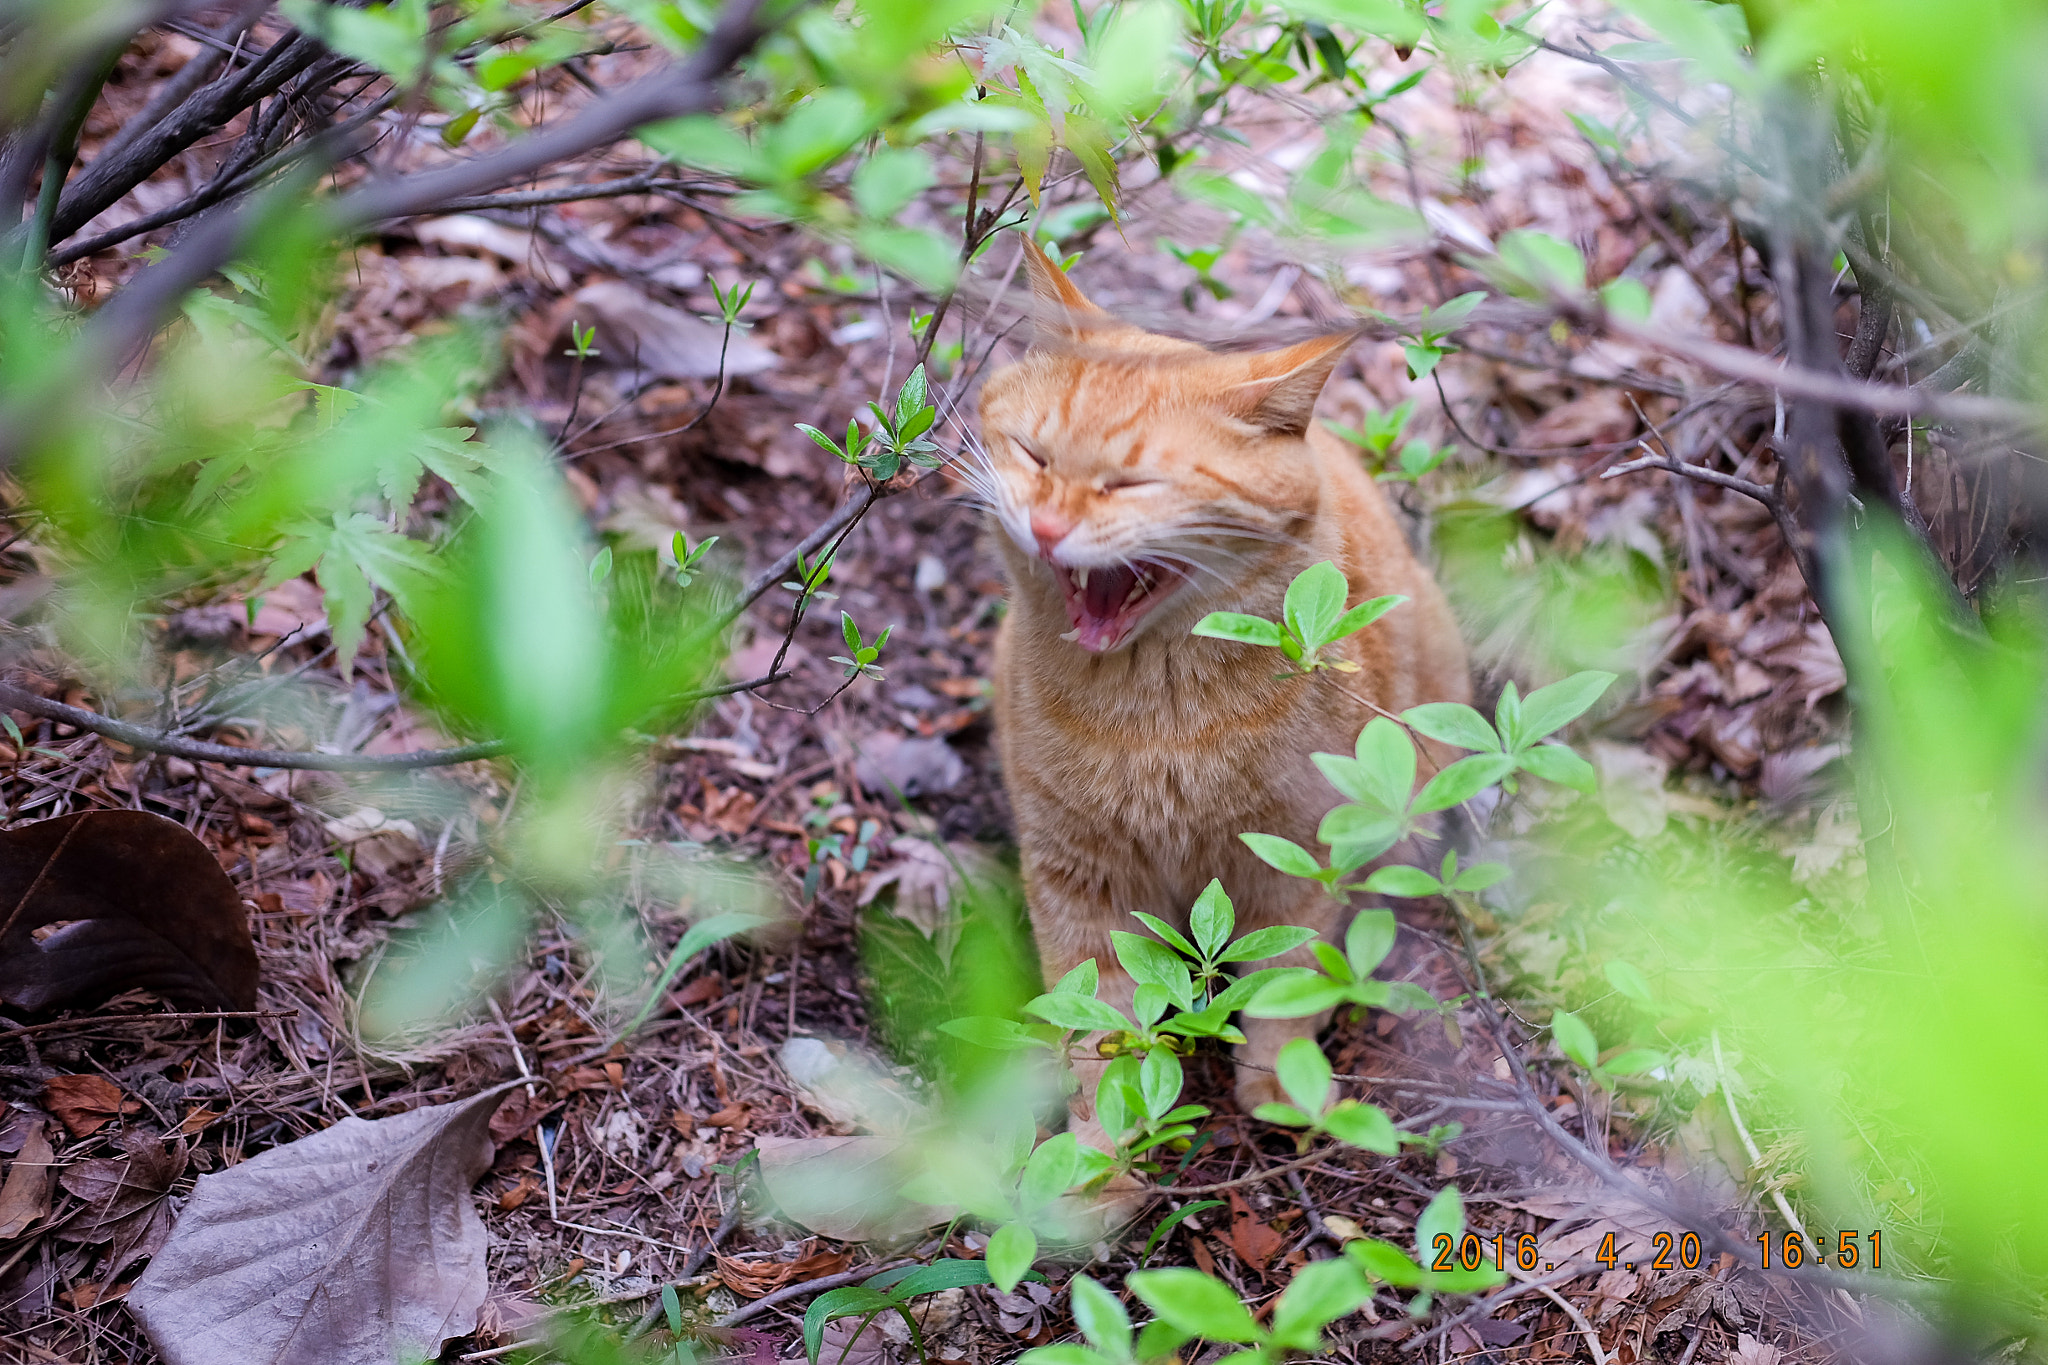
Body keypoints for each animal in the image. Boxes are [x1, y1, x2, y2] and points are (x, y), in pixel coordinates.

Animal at [978, 240, 1474, 1146]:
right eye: (1034, 455)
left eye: (1131, 483)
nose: (1048, 528)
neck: (1159, 721)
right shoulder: (1077, 878)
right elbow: (1096, 1018)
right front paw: (1102, 1152)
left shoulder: (1299, 855)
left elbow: (1289, 976)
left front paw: (1284, 1086)